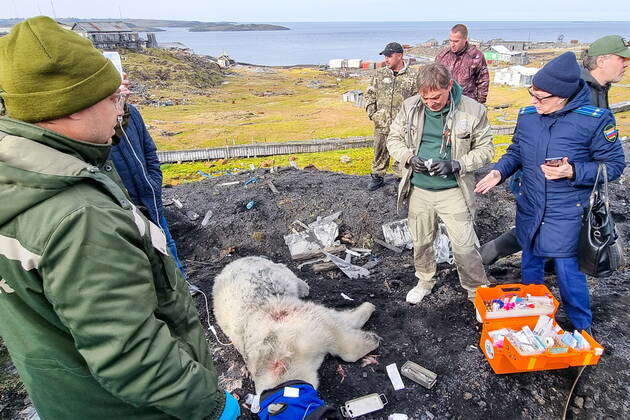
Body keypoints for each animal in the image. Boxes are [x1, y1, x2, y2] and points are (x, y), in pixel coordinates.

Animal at [214, 256, 380, 394]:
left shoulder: (303, 326)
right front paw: (370, 334)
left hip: (273, 270)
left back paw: (303, 287)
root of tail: (236, 261)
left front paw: (368, 321)